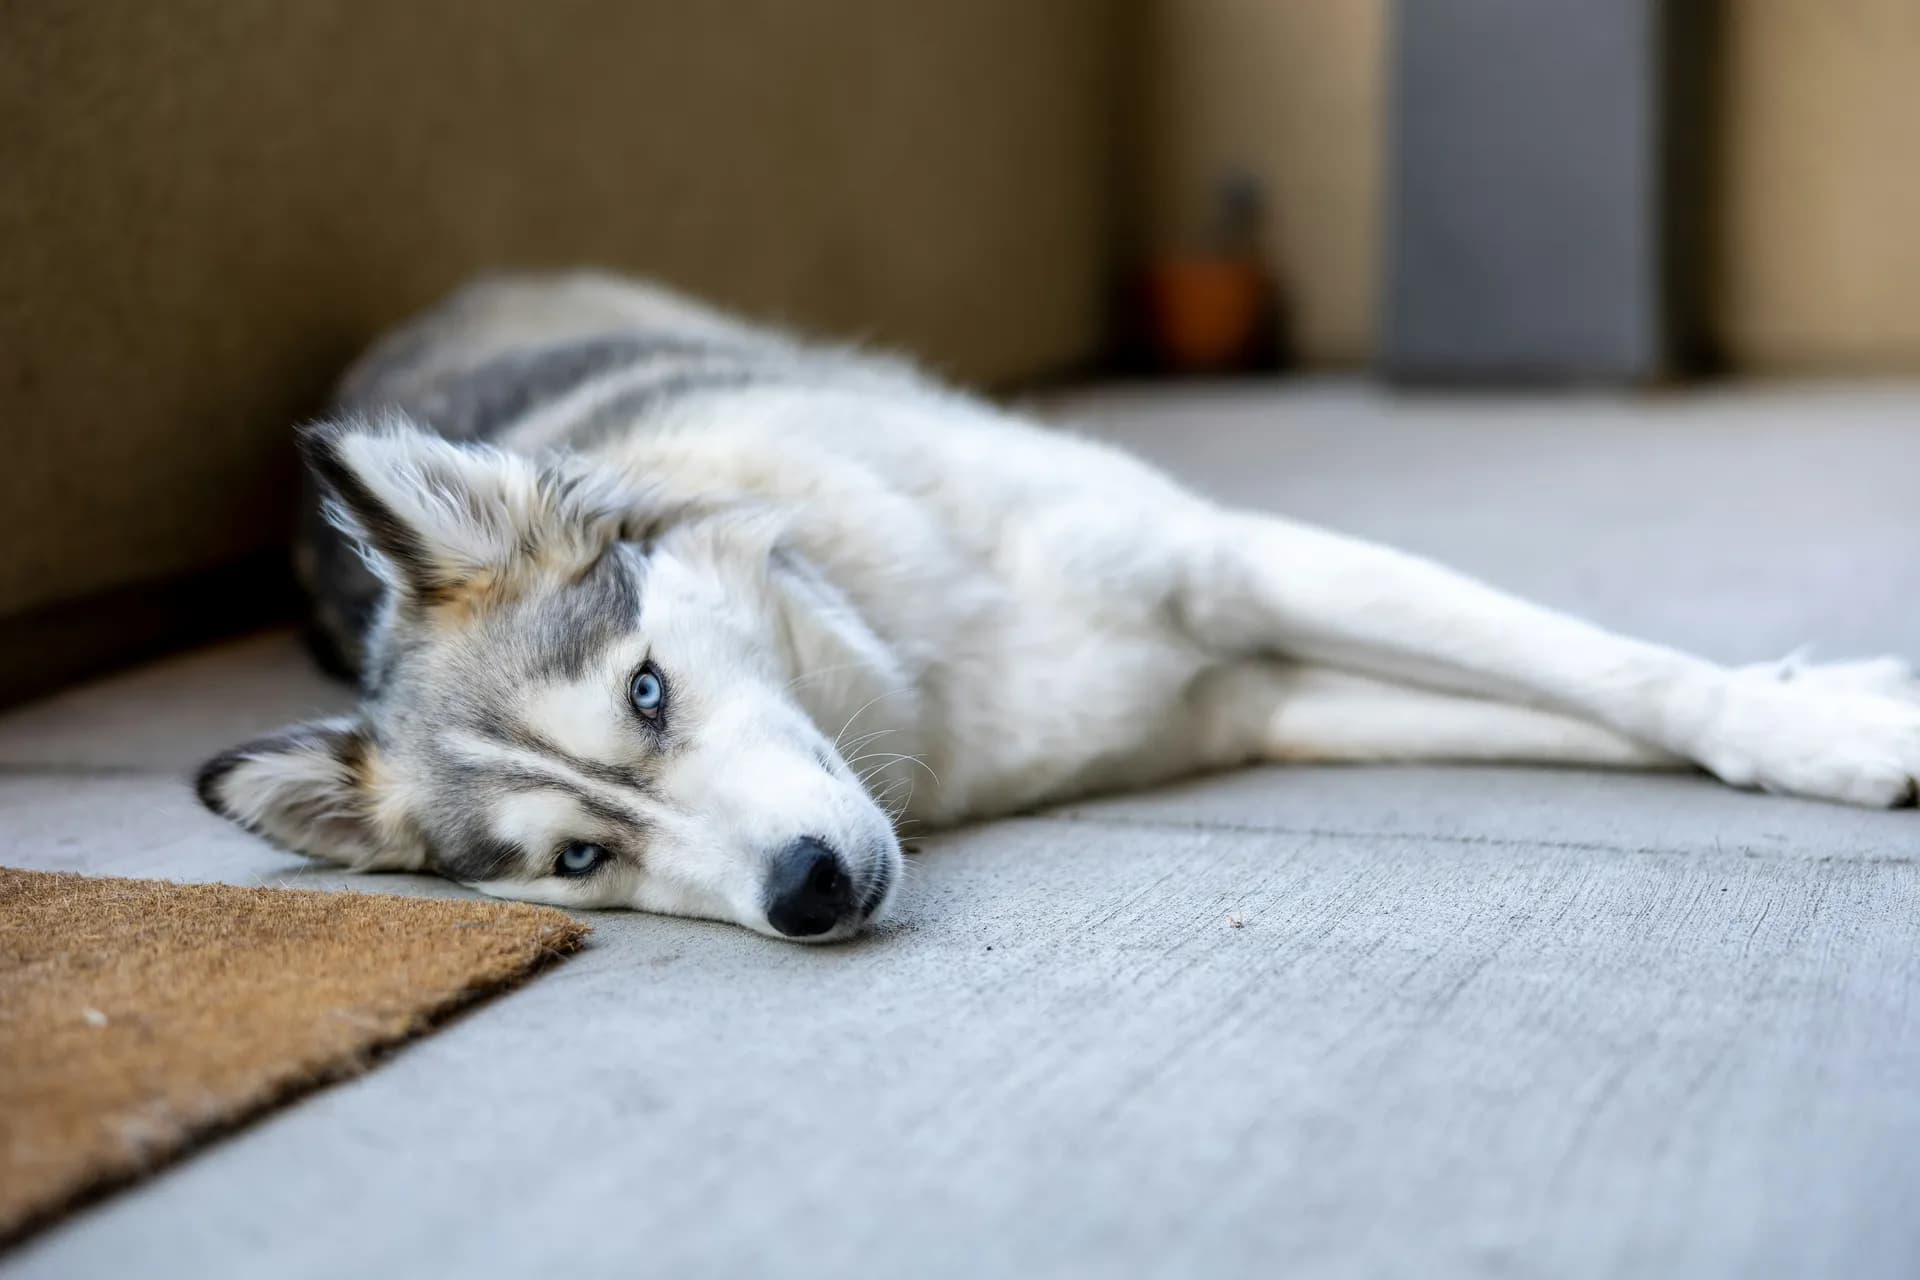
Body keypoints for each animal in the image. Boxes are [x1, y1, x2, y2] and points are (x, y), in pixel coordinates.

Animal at [194, 270, 1920, 940]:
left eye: (647, 691)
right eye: (579, 858)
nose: (808, 892)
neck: (912, 662)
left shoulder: (1239, 566)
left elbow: (1631, 682)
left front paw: (1821, 734)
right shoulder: (1264, 700)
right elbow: (1590, 719)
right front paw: (1833, 714)